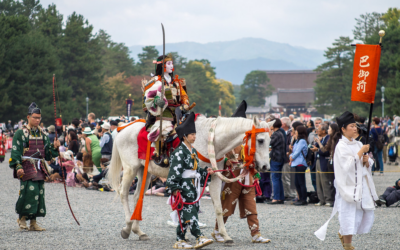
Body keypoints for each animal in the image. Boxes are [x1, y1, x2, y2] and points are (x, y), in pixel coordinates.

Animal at [108, 116, 274, 243]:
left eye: (270, 140)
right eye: (260, 140)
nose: (265, 166)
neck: (210, 141)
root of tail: (123, 129)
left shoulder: (214, 176)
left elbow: (219, 207)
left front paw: (225, 235)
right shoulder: (197, 178)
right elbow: (191, 204)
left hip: (145, 171)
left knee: (138, 197)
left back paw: (139, 231)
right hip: (130, 168)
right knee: (123, 194)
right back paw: (127, 227)